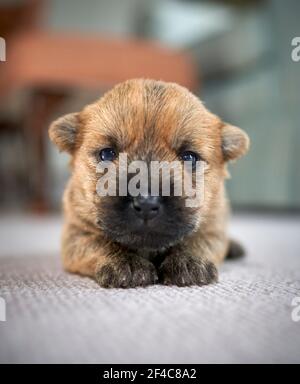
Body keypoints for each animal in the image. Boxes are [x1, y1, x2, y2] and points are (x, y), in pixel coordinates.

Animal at [49, 79, 250, 288]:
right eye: (106, 154)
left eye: (189, 157)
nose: (146, 203)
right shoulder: (75, 234)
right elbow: (99, 243)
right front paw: (126, 263)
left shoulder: (214, 225)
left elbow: (199, 239)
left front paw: (188, 261)